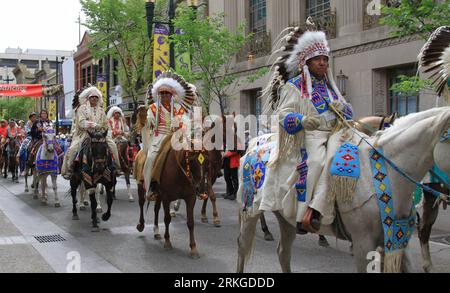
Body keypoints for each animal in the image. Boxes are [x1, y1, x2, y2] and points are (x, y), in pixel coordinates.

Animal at [236, 106, 450, 272]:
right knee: (242, 246)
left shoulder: (398, 242)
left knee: (283, 253)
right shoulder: (364, 243)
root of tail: (252, 148)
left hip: (286, 219)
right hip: (250, 211)